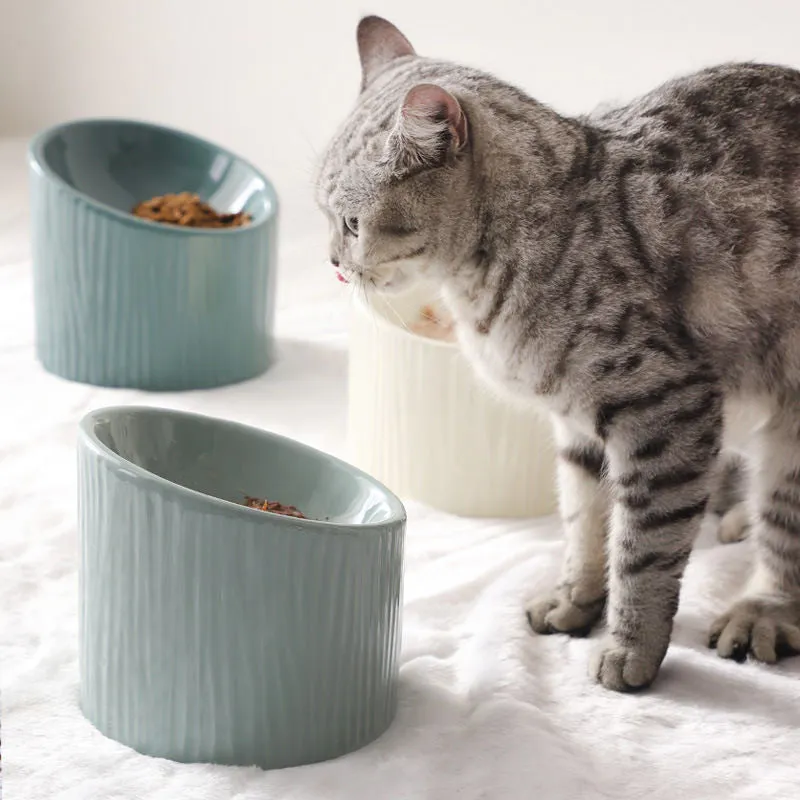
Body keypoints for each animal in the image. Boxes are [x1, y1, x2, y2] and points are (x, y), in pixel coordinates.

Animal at [316, 15, 800, 692]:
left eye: (353, 223)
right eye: (325, 215)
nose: (334, 263)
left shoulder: (666, 406)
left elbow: (643, 548)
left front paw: (629, 647)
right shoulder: (577, 425)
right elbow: (584, 523)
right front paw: (575, 601)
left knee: (784, 533)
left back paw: (762, 609)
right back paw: (736, 521)